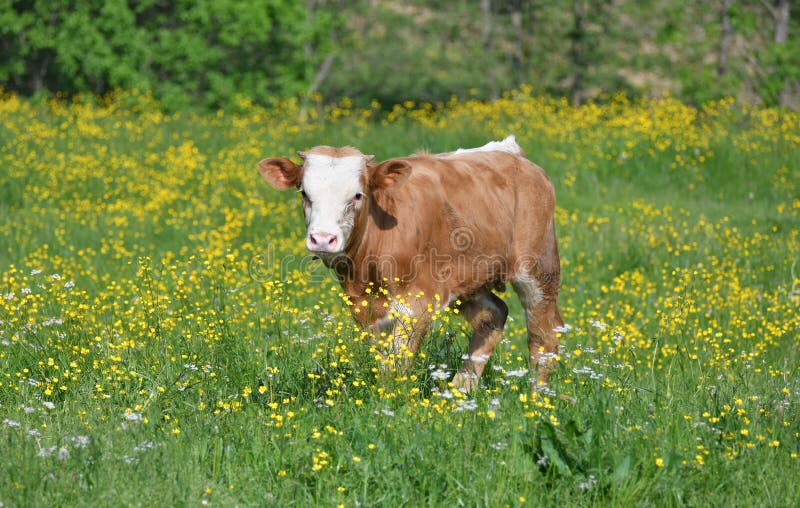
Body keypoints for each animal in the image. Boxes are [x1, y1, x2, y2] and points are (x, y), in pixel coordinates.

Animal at [258, 136, 564, 392]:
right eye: (304, 193)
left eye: (357, 195)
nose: (323, 238)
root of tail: (511, 153)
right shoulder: (365, 308)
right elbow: (383, 360)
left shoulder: (418, 301)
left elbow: (397, 363)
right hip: (466, 278)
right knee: (494, 314)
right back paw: (460, 392)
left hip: (538, 268)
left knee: (544, 335)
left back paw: (537, 400)